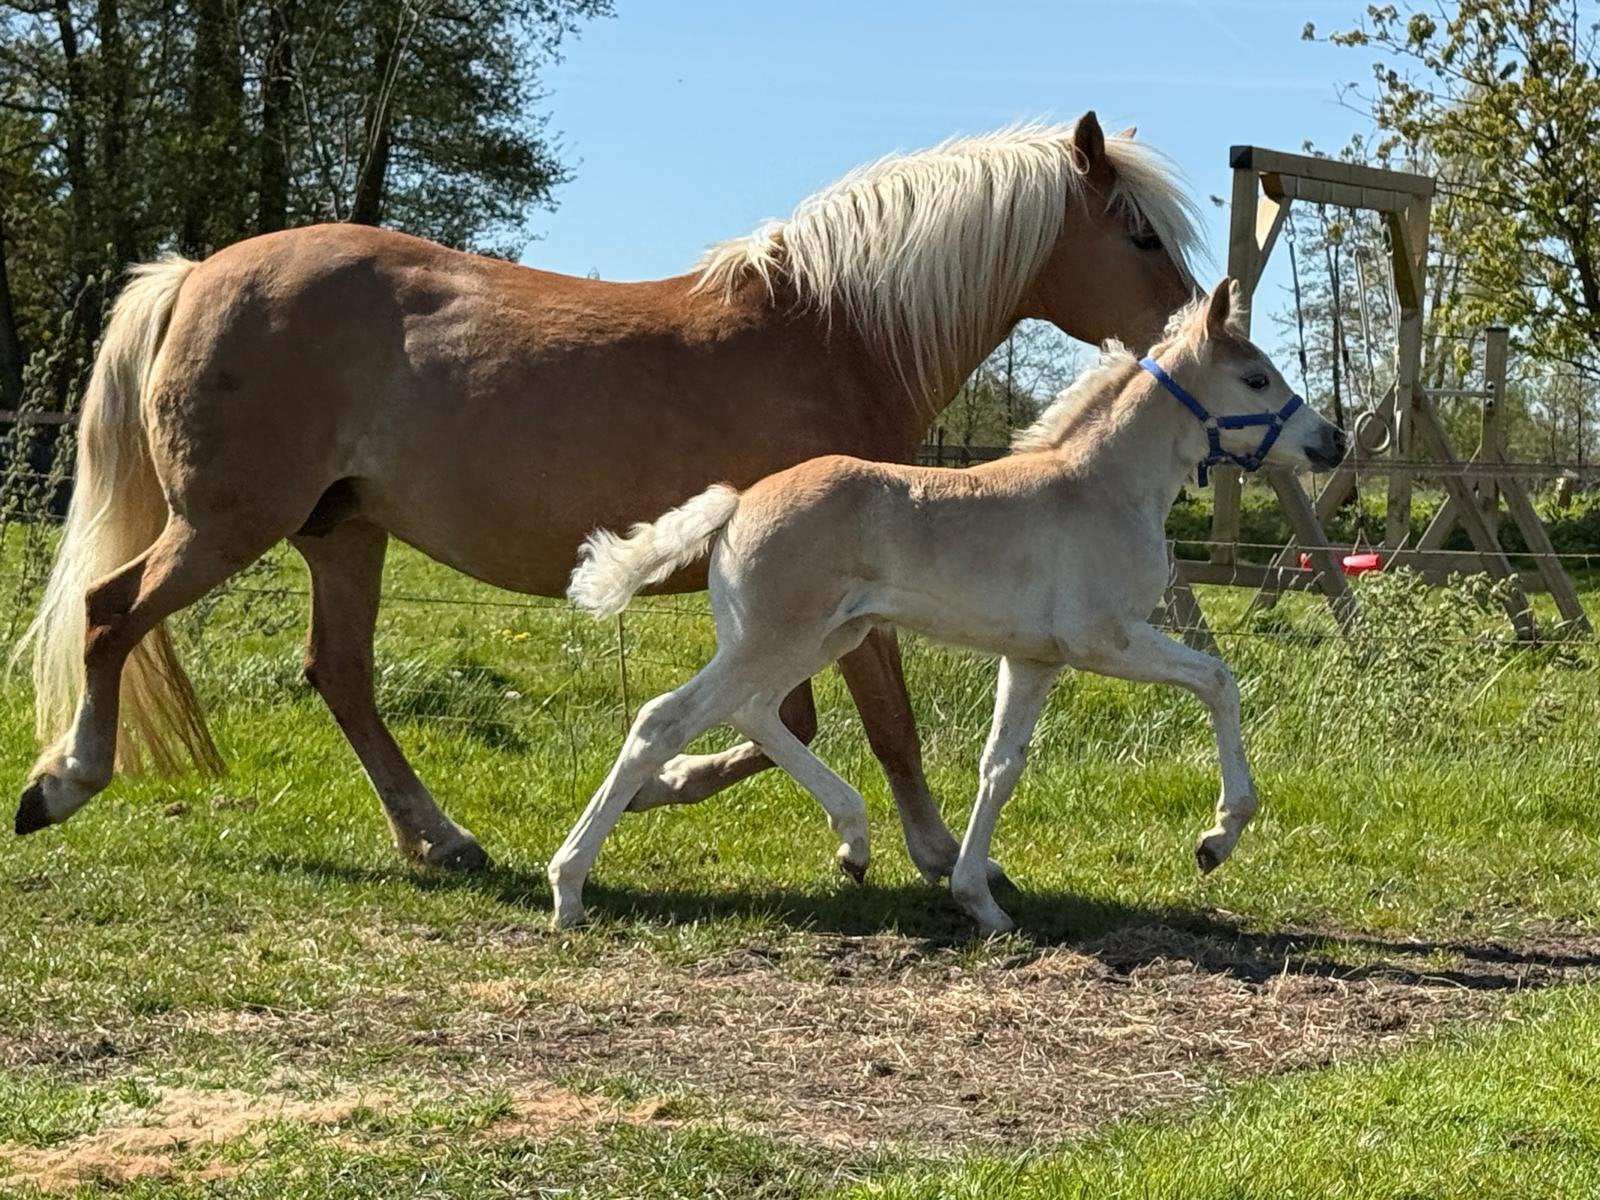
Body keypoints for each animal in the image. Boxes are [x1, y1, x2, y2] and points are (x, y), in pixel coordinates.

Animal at [15, 112, 1200, 880]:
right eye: (1139, 233)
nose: (1203, 325)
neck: (831, 331)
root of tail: (195, 273)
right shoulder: (845, 595)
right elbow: (882, 725)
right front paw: (938, 853)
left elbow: (795, 719)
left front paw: (667, 784)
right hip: (227, 524)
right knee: (111, 615)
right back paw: (64, 780)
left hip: (342, 534)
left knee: (338, 676)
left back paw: (438, 838)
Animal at [555, 280, 1346, 931]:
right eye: (1256, 377)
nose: (1332, 440)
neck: (1101, 488)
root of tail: (739, 501)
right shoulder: (1106, 640)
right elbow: (1219, 681)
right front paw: (1218, 838)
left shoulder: (1033, 659)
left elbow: (1001, 764)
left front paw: (978, 899)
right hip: (775, 640)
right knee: (664, 720)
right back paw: (569, 888)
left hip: (823, 639)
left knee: (754, 712)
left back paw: (853, 839)